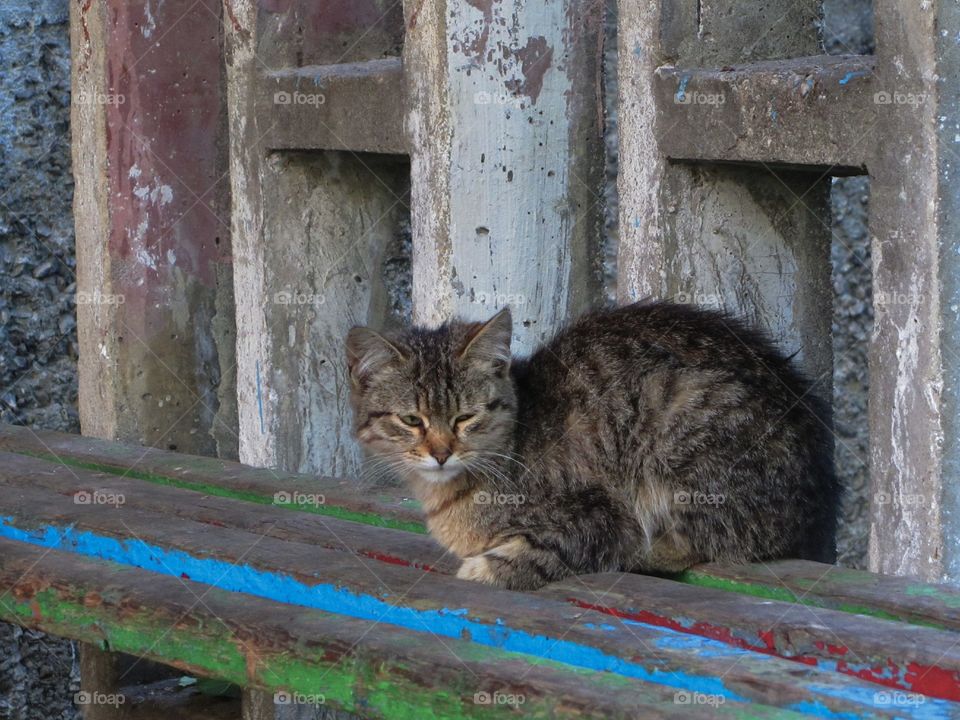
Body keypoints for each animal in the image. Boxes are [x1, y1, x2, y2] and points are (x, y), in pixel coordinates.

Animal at [344, 302, 832, 592]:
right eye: (412, 420)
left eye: (465, 417)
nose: (441, 452)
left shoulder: (597, 512)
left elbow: (550, 548)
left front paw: (486, 568)